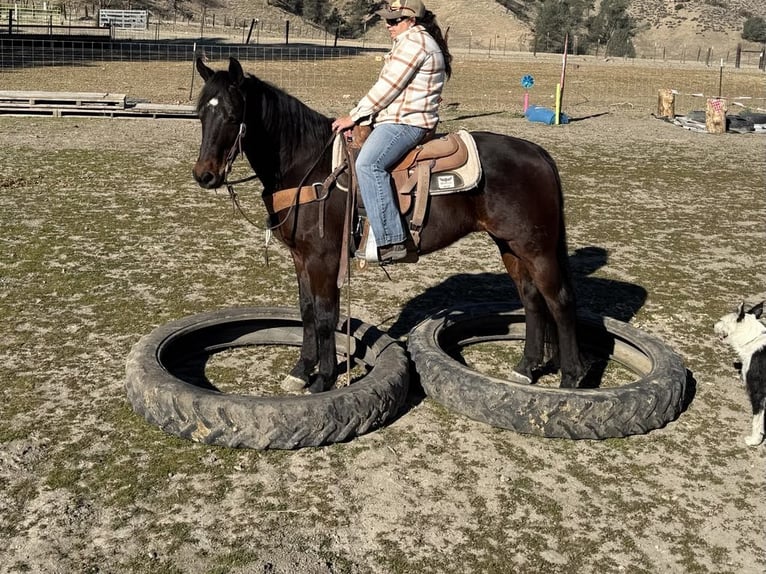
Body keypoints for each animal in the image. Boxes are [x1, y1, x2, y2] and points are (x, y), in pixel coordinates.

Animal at [192, 57, 586, 393]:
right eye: (199, 114)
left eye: (232, 114)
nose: (204, 175)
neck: (307, 165)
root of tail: (538, 154)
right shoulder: (301, 258)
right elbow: (306, 313)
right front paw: (301, 371)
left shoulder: (324, 259)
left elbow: (325, 315)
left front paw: (323, 380)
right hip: (510, 246)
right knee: (532, 299)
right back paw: (527, 367)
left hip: (536, 248)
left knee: (559, 300)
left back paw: (571, 377)